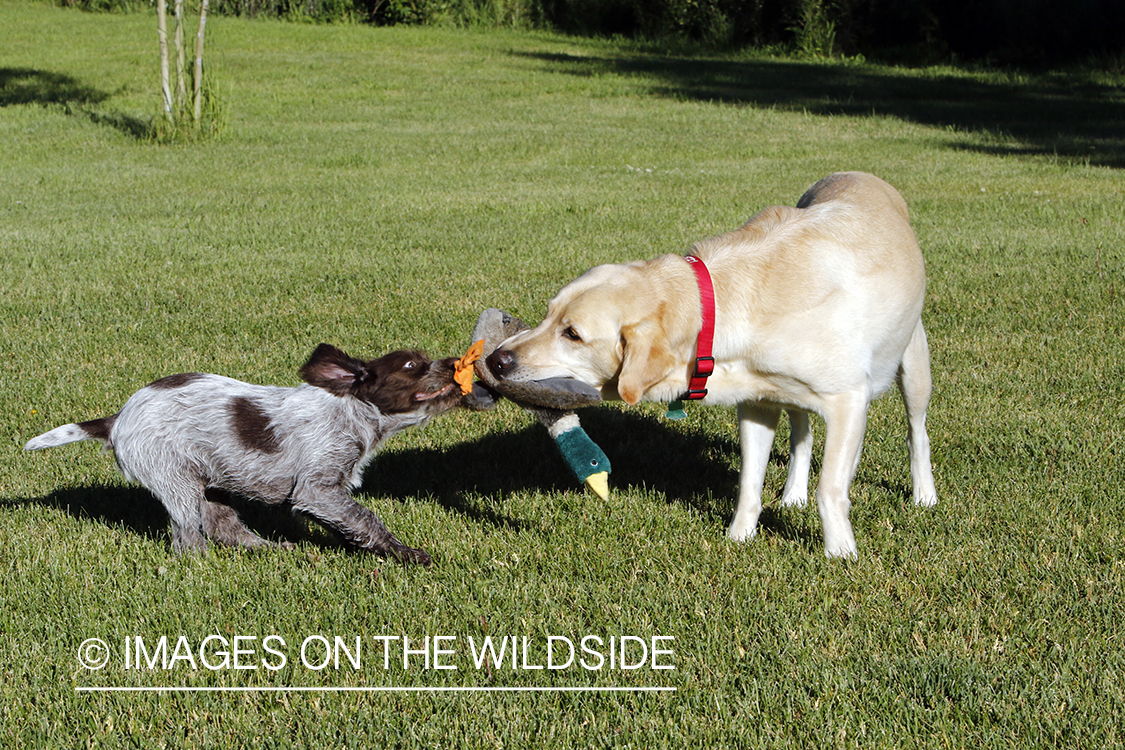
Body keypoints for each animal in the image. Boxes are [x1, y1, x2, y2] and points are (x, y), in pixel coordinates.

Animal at [24, 344, 461, 562]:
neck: (352, 410)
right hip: (175, 479)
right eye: (413, 365)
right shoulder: (318, 488)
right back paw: (204, 566)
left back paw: (270, 550)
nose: (456, 362)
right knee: (187, 539)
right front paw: (405, 553)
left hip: (209, 484)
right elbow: (366, 520)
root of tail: (117, 417)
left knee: (224, 528)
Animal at [488, 172, 936, 557]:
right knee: (802, 433)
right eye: (548, 314)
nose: (495, 359)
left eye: (573, 334)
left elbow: (831, 487)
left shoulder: (848, 400)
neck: (718, 306)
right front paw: (739, 538)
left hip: (914, 364)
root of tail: (861, 175)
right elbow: (750, 483)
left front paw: (840, 553)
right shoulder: (757, 404)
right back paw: (793, 494)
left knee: (916, 434)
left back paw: (924, 494)